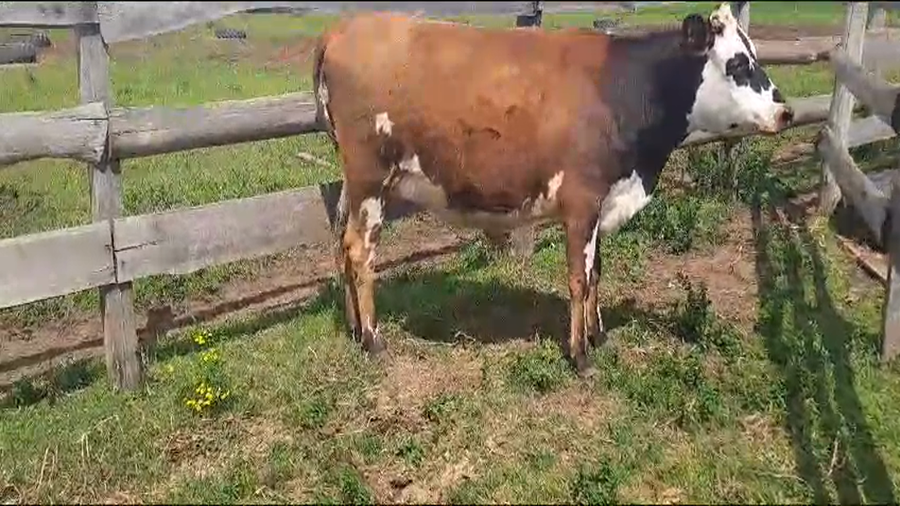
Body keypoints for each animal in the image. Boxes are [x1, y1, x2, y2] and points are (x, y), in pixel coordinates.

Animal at [312, 3, 794, 377]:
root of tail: (343, 28)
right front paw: (580, 355)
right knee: (359, 250)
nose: (786, 111)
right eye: (738, 64)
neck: (622, 88)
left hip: (355, 184)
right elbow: (579, 278)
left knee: (341, 244)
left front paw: (598, 335)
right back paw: (374, 340)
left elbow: (597, 271)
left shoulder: (603, 202)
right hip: (370, 179)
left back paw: (355, 329)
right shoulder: (581, 203)